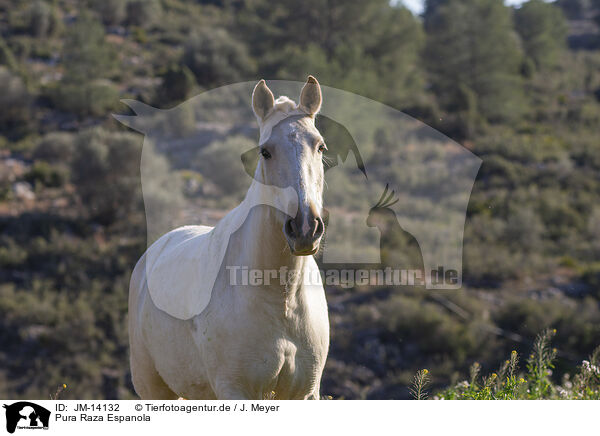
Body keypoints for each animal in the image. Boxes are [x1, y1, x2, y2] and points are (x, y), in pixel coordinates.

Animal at [128, 76, 330, 398]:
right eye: (265, 151)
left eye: (320, 147)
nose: (304, 228)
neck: (281, 298)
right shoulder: (235, 389)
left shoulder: (306, 392)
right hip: (153, 387)